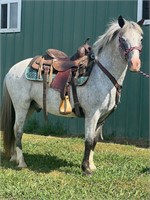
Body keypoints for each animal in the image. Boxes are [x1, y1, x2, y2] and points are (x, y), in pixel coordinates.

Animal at [0, 16, 144, 175]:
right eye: (122, 39)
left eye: (141, 39)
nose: (135, 64)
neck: (102, 74)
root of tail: (12, 70)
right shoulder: (92, 114)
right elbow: (88, 141)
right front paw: (86, 169)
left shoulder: (102, 118)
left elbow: (94, 141)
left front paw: (92, 165)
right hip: (21, 106)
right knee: (18, 131)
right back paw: (22, 162)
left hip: (30, 107)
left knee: (14, 130)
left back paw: (14, 157)